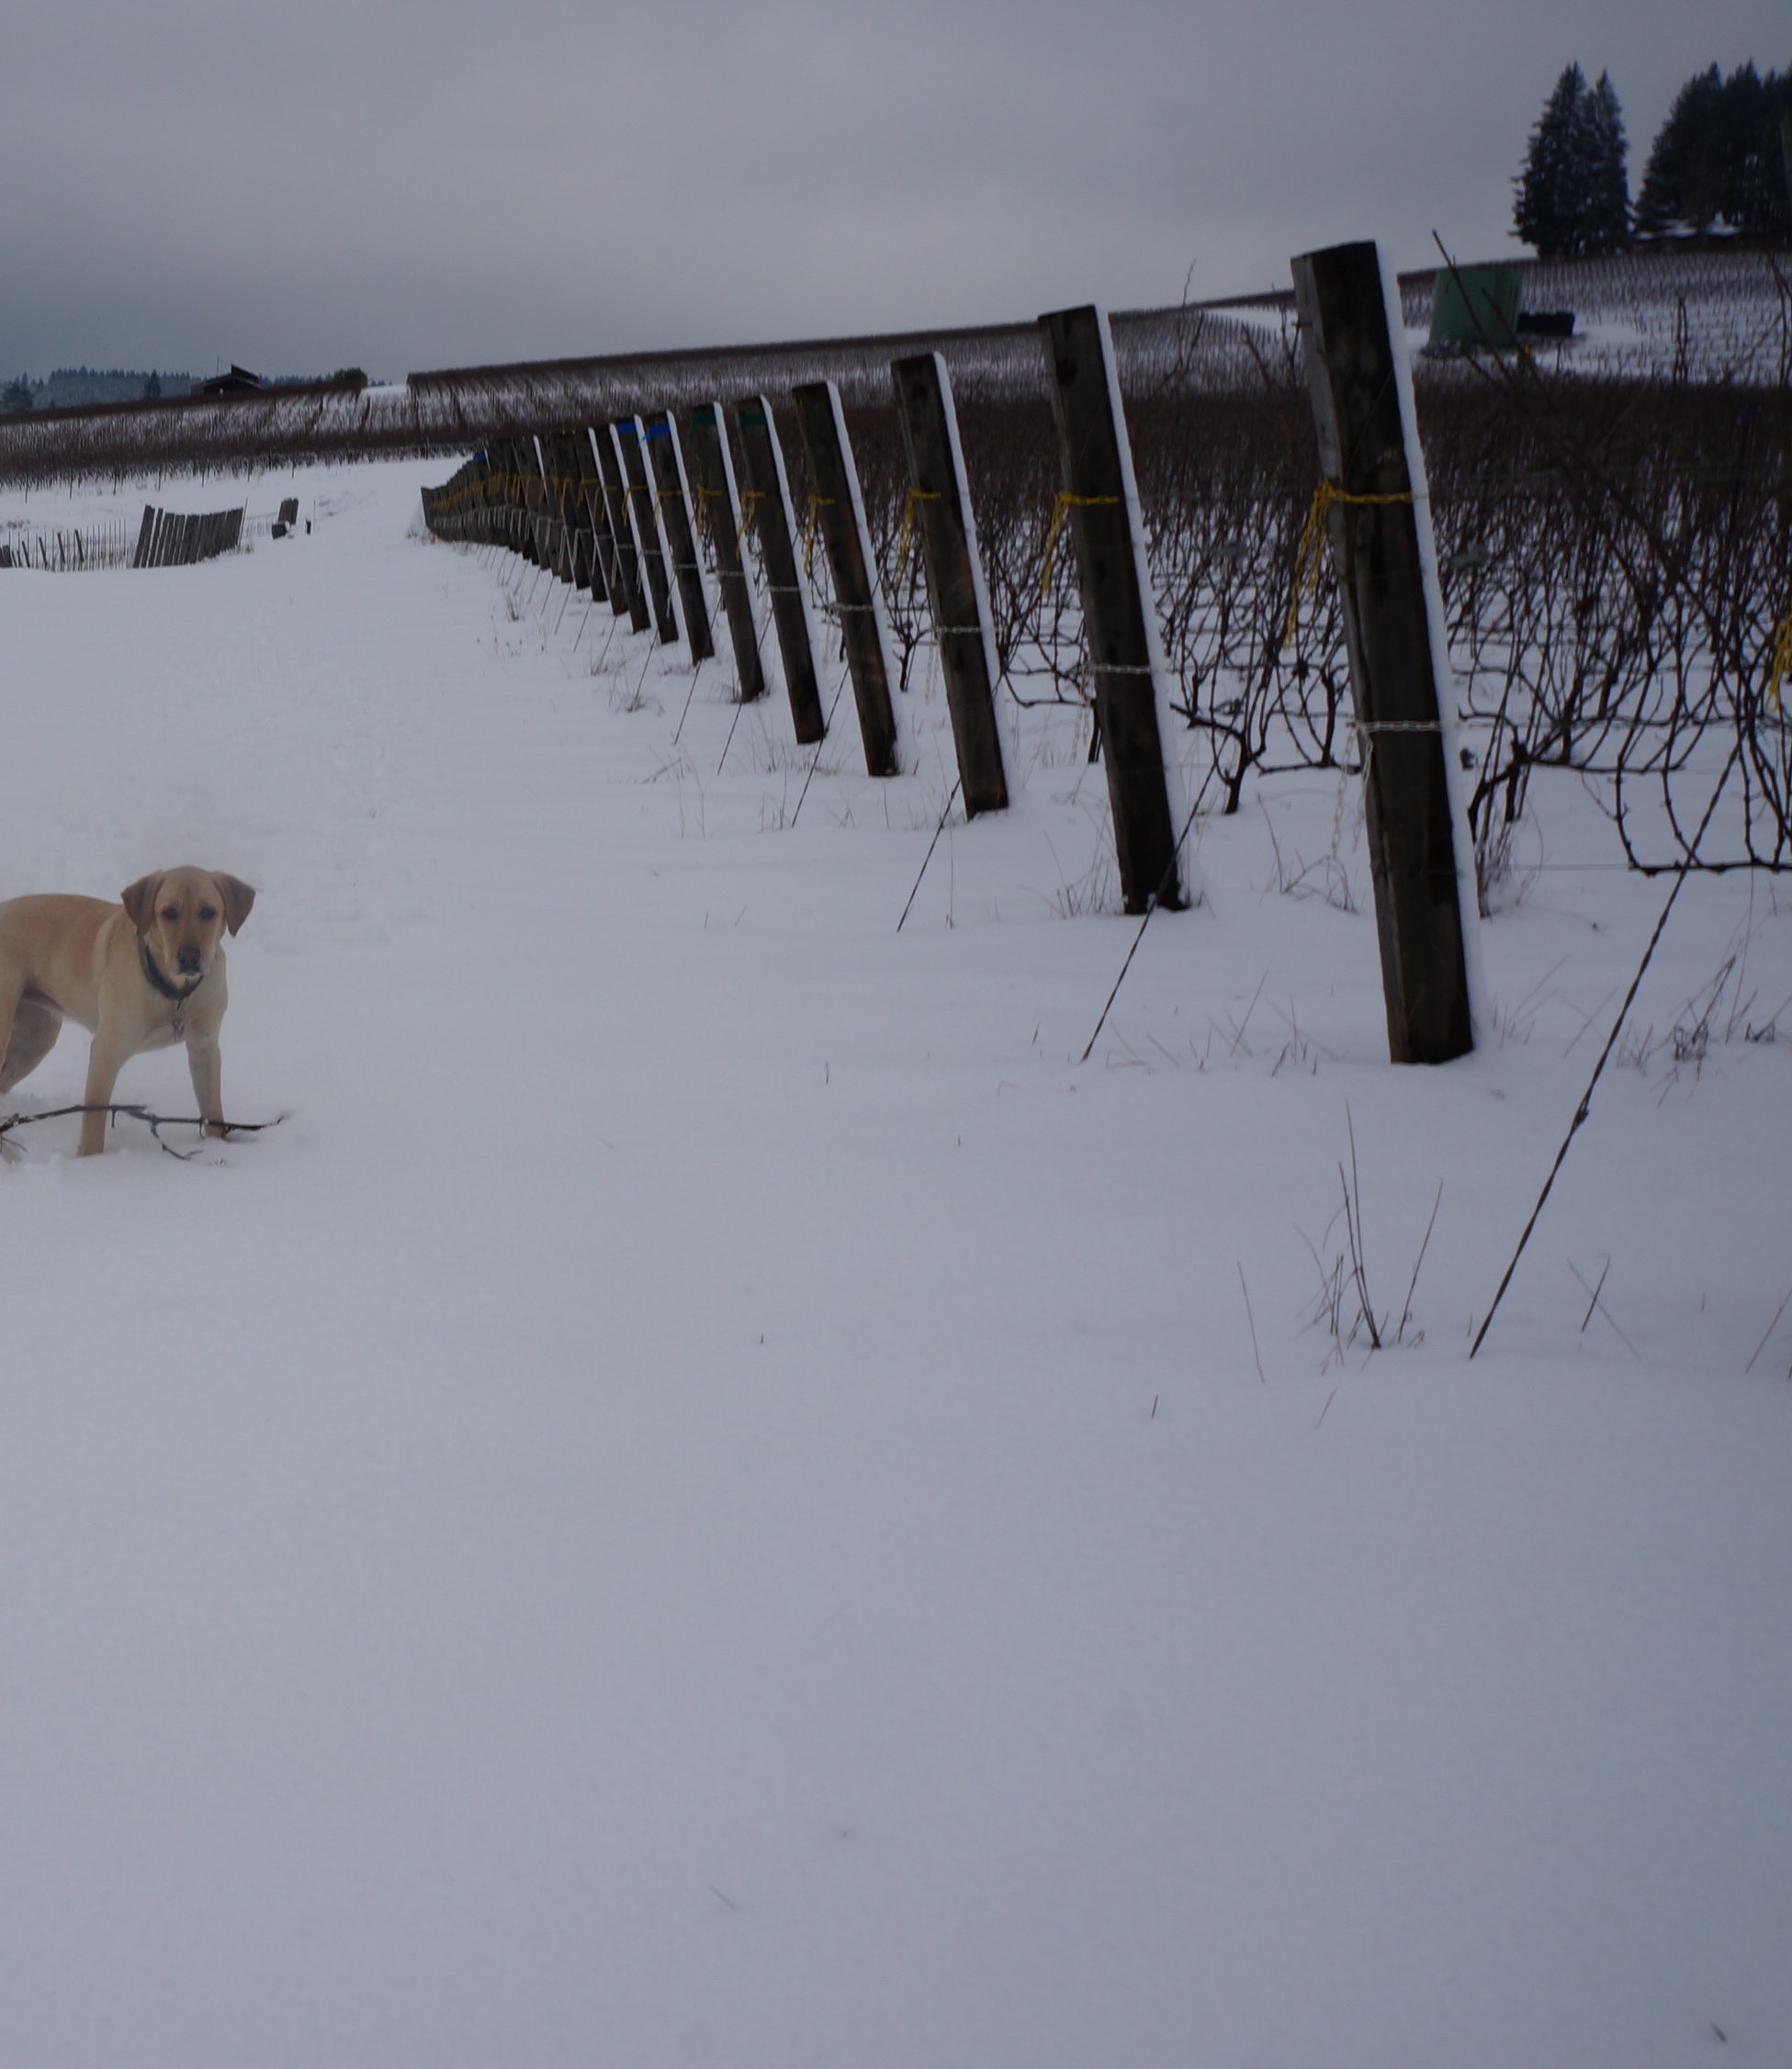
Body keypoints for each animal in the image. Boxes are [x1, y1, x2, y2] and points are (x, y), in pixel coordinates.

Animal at [0, 864, 254, 1158]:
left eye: (208, 911)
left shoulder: (204, 1047)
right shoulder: (106, 1050)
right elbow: (94, 1117)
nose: (189, 956)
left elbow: (213, 1109)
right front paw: (90, 1160)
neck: (174, 994)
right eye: (169, 912)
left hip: (34, 1041)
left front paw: (219, 1145)